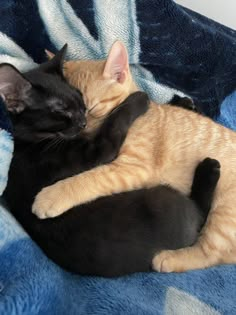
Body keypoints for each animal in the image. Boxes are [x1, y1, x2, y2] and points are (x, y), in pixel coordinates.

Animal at [0, 48, 220, 278]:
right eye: (61, 110)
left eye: (80, 100)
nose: (83, 121)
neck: (29, 140)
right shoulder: (96, 150)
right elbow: (116, 121)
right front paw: (139, 98)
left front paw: (182, 103)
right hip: (165, 200)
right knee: (201, 210)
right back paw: (210, 168)